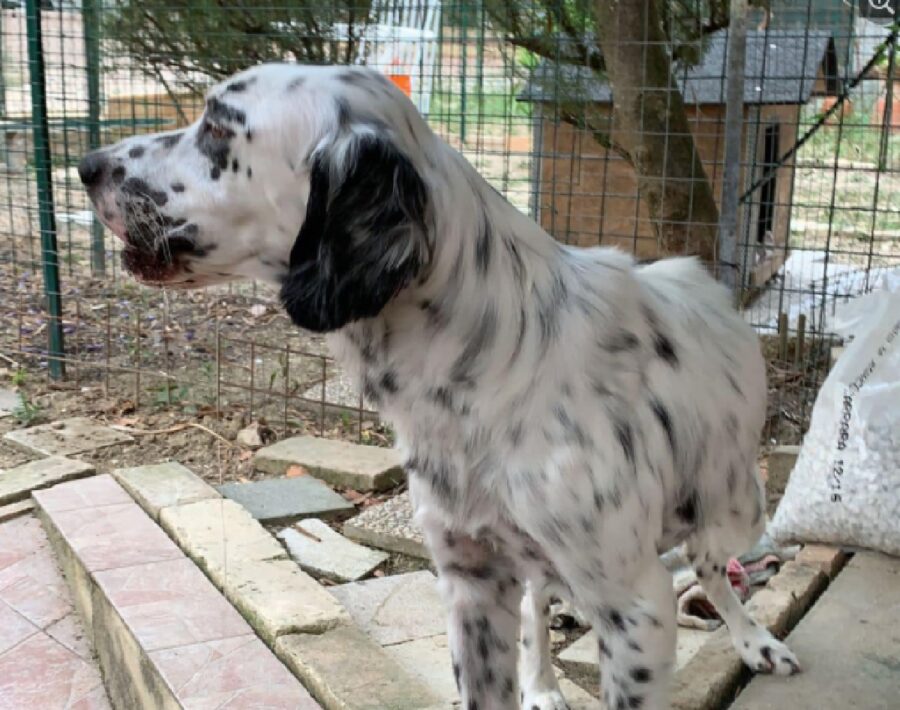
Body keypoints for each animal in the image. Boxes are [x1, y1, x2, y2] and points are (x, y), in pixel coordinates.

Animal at [77, 64, 796, 708]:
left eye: (220, 127)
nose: (86, 165)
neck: (486, 366)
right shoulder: (471, 579)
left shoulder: (635, 608)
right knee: (547, 596)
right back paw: (544, 684)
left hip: (735, 506)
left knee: (711, 566)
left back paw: (756, 642)